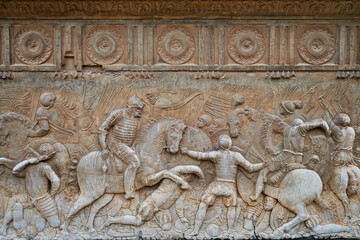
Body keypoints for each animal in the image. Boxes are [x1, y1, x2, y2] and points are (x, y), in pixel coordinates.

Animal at [63, 117, 202, 231]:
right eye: (173, 135)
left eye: (181, 137)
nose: (174, 150)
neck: (148, 152)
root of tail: (81, 161)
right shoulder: (147, 179)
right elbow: (166, 172)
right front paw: (184, 183)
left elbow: (169, 172)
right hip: (91, 193)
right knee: (75, 206)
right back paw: (64, 229)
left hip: (106, 195)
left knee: (95, 207)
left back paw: (91, 229)